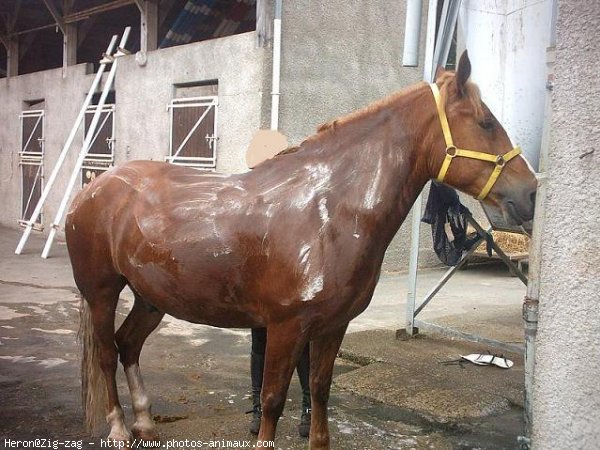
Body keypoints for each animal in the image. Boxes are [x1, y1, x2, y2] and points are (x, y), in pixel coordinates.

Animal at [65, 51, 536, 448]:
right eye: (486, 122)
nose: (531, 193)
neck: (327, 211)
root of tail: (92, 189)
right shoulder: (285, 326)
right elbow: (273, 398)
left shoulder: (332, 326)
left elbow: (320, 390)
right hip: (102, 292)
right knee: (107, 353)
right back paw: (119, 428)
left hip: (152, 297)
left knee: (128, 345)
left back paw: (145, 423)